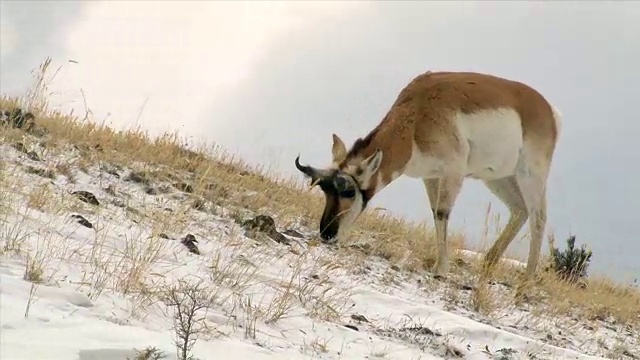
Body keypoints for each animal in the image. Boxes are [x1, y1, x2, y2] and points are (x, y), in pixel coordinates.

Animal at [296, 70, 560, 278]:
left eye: (350, 191)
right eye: (325, 190)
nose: (327, 235)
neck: (417, 114)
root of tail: (547, 108)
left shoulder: (453, 172)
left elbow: (442, 212)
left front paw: (441, 269)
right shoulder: (431, 177)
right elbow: (435, 213)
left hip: (530, 175)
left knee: (538, 216)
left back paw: (527, 280)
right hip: (498, 178)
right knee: (520, 210)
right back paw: (488, 263)